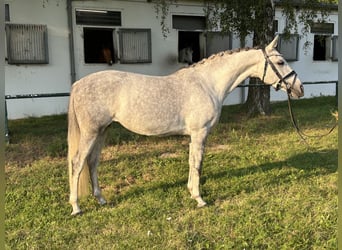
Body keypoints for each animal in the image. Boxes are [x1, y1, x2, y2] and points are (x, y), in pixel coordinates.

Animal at [68, 36, 304, 216]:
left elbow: (192, 162)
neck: (208, 84)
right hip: (91, 132)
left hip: (102, 131)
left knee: (93, 163)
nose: (299, 88)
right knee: (78, 163)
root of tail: (78, 84)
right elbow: (198, 163)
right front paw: (199, 199)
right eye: (281, 62)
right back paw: (76, 207)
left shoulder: (194, 135)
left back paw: (101, 199)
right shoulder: (200, 133)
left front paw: (191, 192)